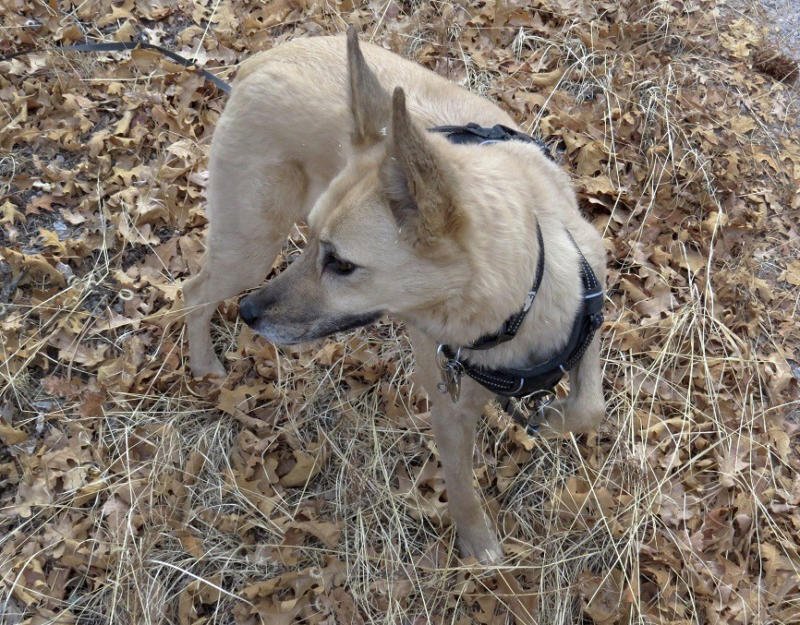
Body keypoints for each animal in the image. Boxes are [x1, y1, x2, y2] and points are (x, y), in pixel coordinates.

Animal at [183, 30, 608, 564]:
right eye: (323, 249)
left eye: (341, 264)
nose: (248, 313)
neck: (518, 298)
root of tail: (259, 63)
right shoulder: (448, 409)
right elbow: (462, 489)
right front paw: (479, 549)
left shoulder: (588, 311)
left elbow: (588, 407)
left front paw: (548, 419)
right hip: (252, 247)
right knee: (193, 291)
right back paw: (203, 363)